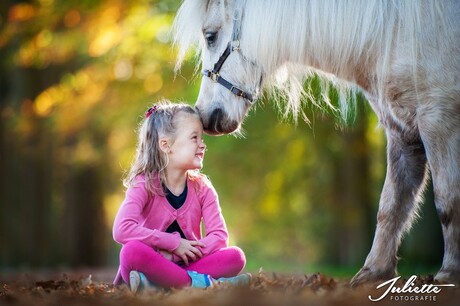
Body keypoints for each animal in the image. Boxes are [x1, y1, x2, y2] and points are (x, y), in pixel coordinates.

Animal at [172, 0, 460, 286]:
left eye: (210, 36)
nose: (204, 115)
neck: (394, 31)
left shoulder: (438, 118)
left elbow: (447, 200)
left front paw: (449, 273)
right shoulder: (402, 130)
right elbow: (391, 205)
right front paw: (374, 272)